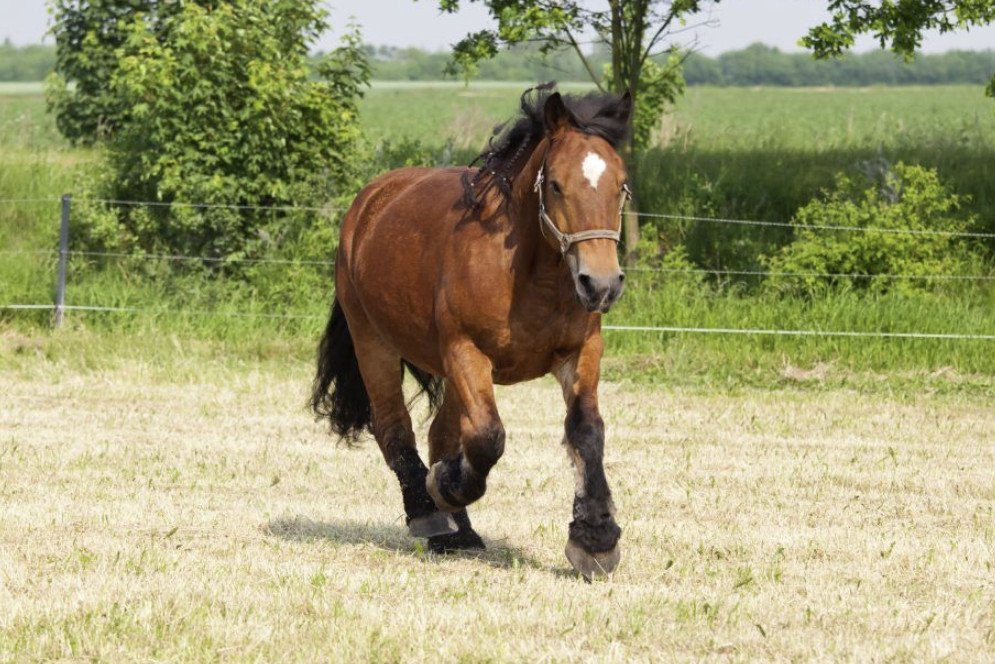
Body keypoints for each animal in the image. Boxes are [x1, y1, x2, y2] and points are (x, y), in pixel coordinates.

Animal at [314, 85, 632, 580]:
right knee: (395, 430)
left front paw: (595, 539)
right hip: (374, 344)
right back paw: (429, 513)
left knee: (439, 435)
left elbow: (586, 432)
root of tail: (368, 203)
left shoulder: (580, 353)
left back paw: (457, 531)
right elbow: (487, 438)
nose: (600, 284)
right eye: (556, 184)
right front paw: (446, 487)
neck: (527, 274)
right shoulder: (466, 352)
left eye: (621, 185)